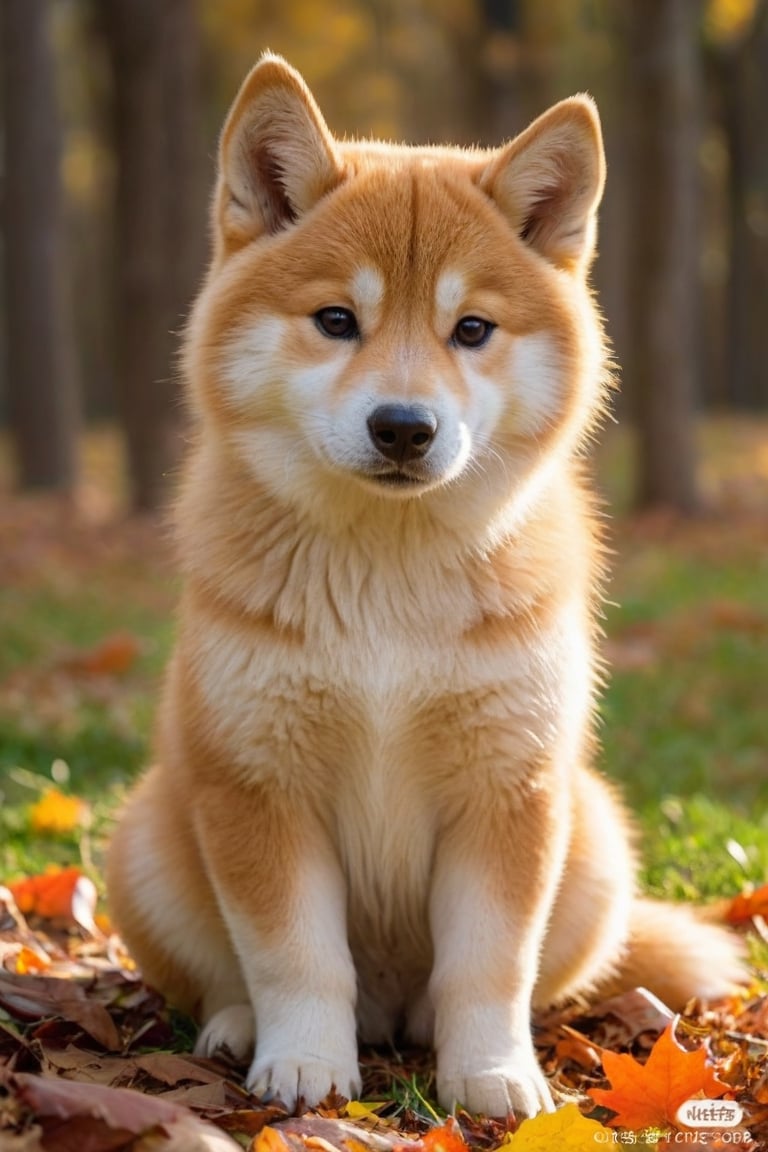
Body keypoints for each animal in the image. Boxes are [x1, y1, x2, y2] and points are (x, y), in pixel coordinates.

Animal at [106, 54, 746, 1115]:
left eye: (472, 329)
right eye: (336, 321)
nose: (404, 426)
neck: (386, 586)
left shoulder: (509, 789)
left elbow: (490, 966)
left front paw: (493, 1078)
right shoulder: (260, 785)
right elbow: (293, 956)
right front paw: (306, 1065)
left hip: (595, 838)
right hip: (151, 832)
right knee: (221, 977)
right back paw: (237, 1030)